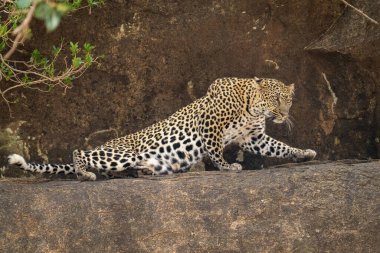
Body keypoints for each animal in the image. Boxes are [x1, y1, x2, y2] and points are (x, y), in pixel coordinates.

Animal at [9, 76, 318, 180]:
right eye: (274, 99)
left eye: (288, 100)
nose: (283, 114)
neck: (251, 108)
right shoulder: (210, 124)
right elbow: (215, 150)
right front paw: (228, 167)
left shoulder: (253, 139)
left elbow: (279, 147)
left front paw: (304, 153)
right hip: (121, 153)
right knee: (79, 152)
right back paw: (85, 173)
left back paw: (140, 171)